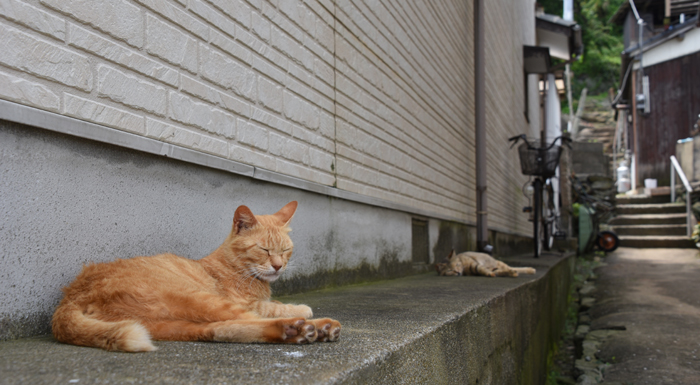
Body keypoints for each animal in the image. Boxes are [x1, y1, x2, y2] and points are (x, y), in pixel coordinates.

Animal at [52, 201, 342, 352]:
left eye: (285, 250)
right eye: (264, 250)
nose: (279, 266)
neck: (233, 265)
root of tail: (72, 295)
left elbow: (272, 305)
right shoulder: (243, 301)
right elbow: (271, 307)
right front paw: (300, 307)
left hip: (171, 325)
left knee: (219, 330)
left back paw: (300, 331)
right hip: (201, 299)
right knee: (245, 320)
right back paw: (310, 326)